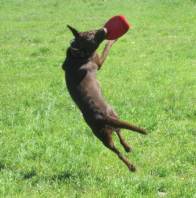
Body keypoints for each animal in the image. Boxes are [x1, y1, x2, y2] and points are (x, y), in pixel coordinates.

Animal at [62, 25, 146, 172]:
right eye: (90, 35)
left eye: (91, 30)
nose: (103, 29)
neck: (77, 53)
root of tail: (102, 117)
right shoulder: (99, 61)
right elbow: (107, 46)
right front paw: (114, 39)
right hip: (105, 133)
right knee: (118, 151)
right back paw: (131, 166)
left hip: (112, 120)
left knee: (119, 135)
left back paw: (127, 147)